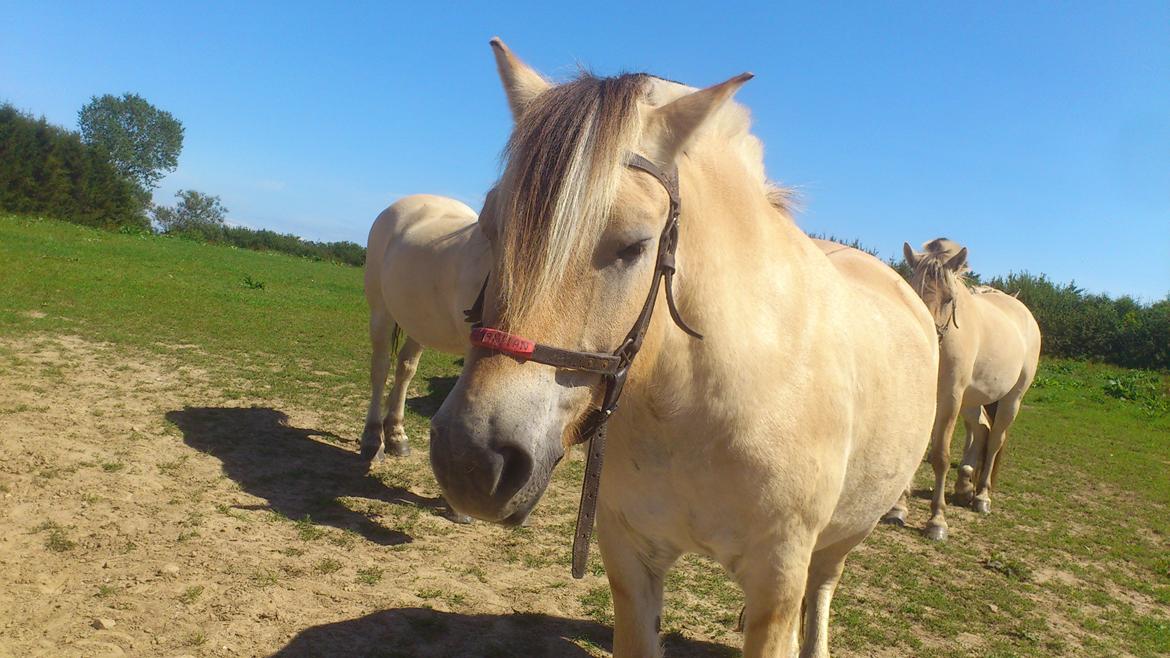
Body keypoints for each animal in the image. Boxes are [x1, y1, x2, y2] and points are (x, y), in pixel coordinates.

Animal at [355, 193, 484, 461]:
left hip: (419, 327)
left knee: (405, 369)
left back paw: (396, 435)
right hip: (380, 313)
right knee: (380, 368)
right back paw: (372, 438)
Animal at [425, 40, 935, 655]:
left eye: (634, 245)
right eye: (491, 228)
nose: (472, 461)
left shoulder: (780, 578)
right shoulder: (631, 560)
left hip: (845, 535)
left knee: (822, 590)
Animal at [884, 236, 1043, 538]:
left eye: (949, 299)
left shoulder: (950, 399)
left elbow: (941, 456)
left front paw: (937, 520)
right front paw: (898, 509)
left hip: (1011, 400)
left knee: (995, 441)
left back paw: (981, 497)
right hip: (974, 400)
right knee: (981, 430)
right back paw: (964, 488)